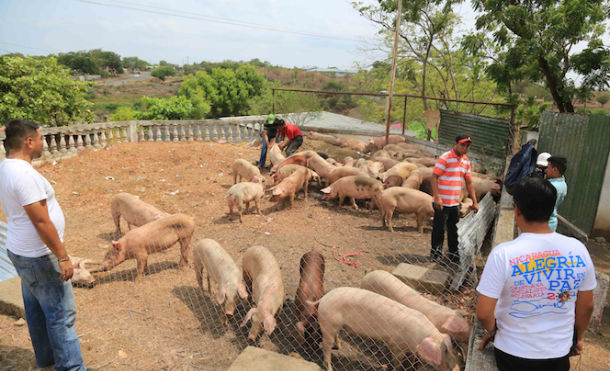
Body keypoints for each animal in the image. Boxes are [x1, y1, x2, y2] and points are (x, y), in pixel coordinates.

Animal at [318, 288, 456, 371]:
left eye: (448, 350)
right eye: (443, 352)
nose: (455, 367)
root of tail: (324, 298)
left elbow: (411, 359)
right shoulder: (395, 344)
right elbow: (396, 362)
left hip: (335, 324)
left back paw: (339, 346)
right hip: (328, 323)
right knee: (325, 346)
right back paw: (330, 367)